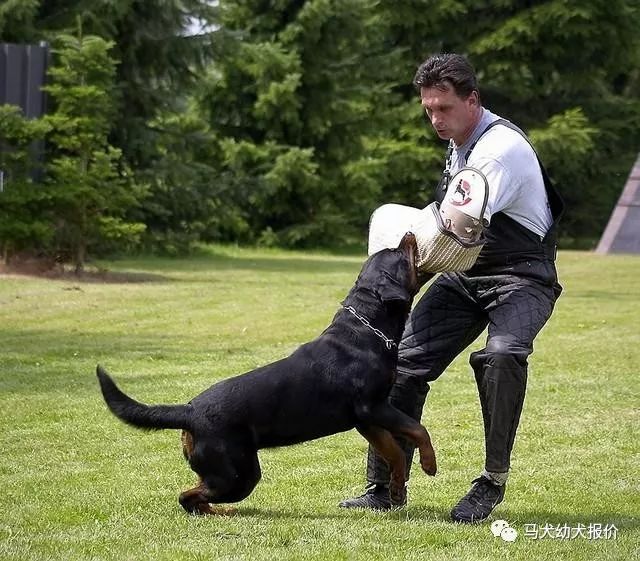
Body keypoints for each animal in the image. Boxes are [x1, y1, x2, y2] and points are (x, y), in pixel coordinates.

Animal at [97, 233, 438, 516]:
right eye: (398, 253)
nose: (409, 234)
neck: (369, 328)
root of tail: (189, 411)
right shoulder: (373, 407)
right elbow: (418, 429)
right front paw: (430, 464)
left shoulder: (367, 420)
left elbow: (394, 451)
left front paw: (397, 489)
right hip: (237, 474)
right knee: (188, 496)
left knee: (195, 495)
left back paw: (221, 512)